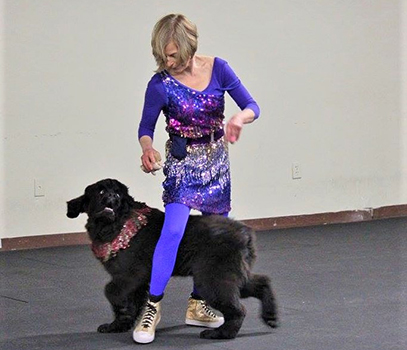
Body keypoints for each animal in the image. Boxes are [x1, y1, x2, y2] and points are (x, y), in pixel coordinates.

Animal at [67, 178, 278, 340]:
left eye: (118, 195)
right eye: (101, 191)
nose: (112, 197)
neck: (120, 224)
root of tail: (245, 232)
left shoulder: (130, 275)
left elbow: (111, 291)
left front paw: (121, 312)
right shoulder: (137, 282)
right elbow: (133, 302)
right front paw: (118, 325)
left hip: (213, 280)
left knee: (238, 310)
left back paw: (220, 333)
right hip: (231, 276)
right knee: (262, 282)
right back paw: (270, 316)